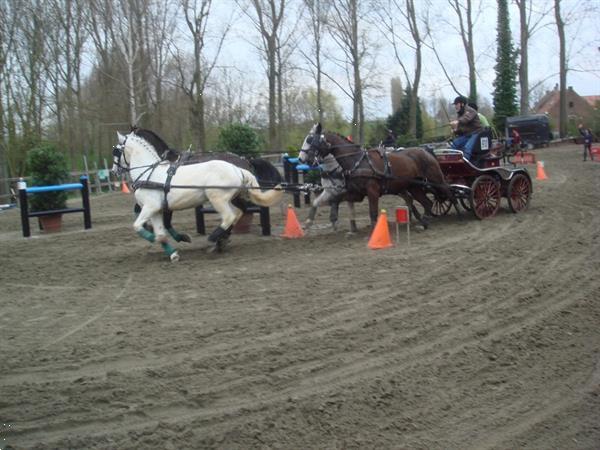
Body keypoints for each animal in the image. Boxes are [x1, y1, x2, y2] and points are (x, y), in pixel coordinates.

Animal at [112, 129, 284, 260]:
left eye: (116, 151)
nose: (114, 171)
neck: (150, 174)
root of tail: (239, 167)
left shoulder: (151, 207)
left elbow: (139, 226)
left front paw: (159, 237)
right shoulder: (156, 210)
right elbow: (160, 231)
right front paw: (172, 252)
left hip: (217, 198)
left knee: (229, 216)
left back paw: (214, 238)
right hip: (234, 197)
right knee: (240, 212)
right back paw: (221, 240)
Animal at [298, 123, 458, 229]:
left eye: (310, 140)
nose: (302, 159)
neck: (357, 161)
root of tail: (426, 150)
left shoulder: (372, 191)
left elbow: (373, 213)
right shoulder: (355, 193)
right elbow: (331, 201)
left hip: (435, 179)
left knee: (449, 193)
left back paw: (457, 212)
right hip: (413, 186)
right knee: (425, 202)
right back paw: (423, 221)